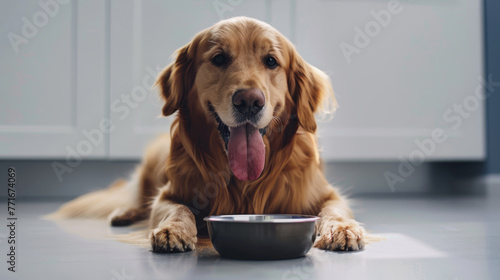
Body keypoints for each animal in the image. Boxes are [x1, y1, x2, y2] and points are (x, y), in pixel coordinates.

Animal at [53, 17, 368, 254]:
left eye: (271, 61)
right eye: (219, 58)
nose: (249, 101)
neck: (244, 184)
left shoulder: (325, 193)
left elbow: (334, 210)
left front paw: (342, 229)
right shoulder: (169, 193)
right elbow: (176, 208)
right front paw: (172, 230)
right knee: (137, 195)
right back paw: (123, 213)